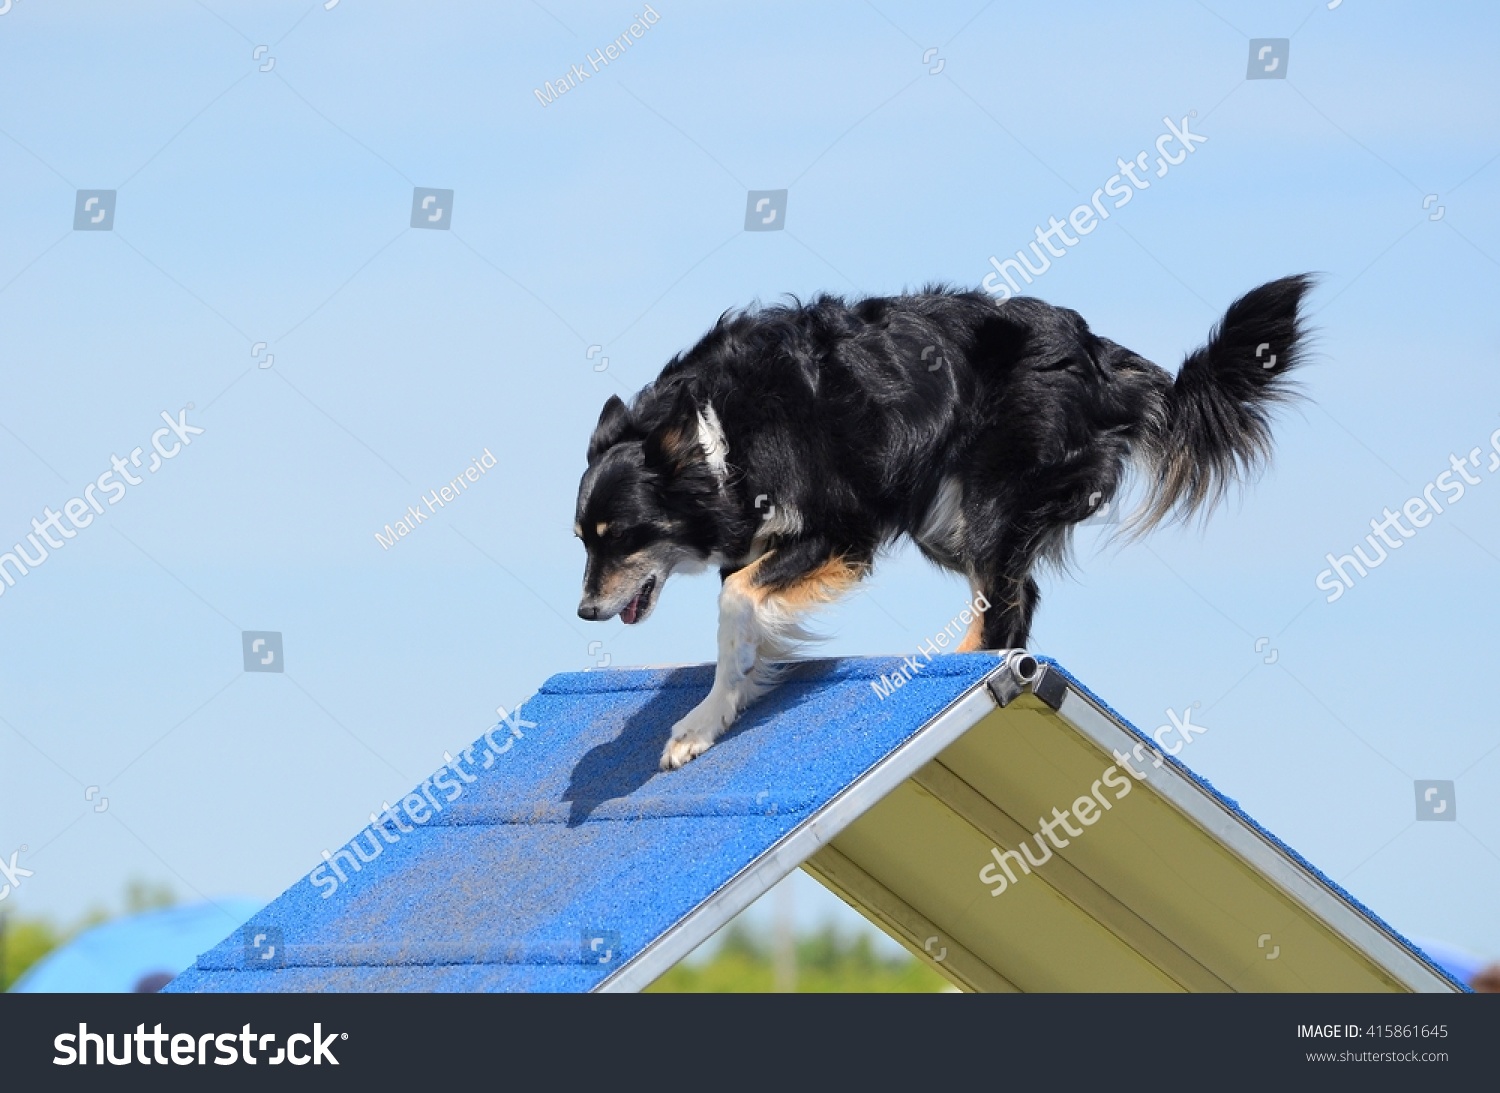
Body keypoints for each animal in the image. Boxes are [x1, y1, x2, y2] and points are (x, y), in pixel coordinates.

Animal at [573, 277, 1314, 773]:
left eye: (623, 536)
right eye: (583, 539)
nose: (585, 611)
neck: (714, 433)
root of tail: (1100, 357)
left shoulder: (840, 529)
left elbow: (735, 602)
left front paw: (696, 725)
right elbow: (743, 626)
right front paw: (722, 709)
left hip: (989, 495)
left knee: (1006, 601)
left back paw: (970, 669)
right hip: (945, 512)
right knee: (1017, 597)